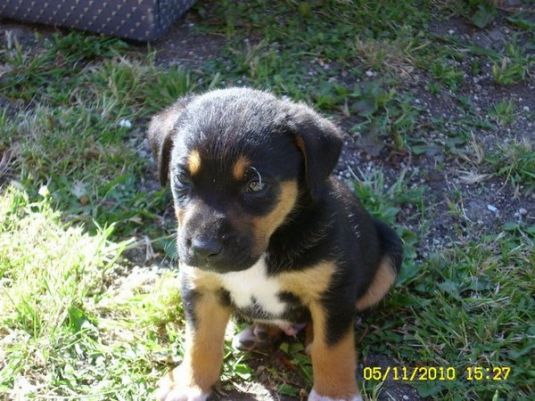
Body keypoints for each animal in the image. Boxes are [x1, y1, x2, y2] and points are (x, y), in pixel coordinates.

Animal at [148, 87, 402, 400]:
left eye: (255, 183)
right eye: (182, 177)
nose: (203, 249)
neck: (268, 246)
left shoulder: (332, 291)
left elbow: (332, 348)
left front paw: (335, 393)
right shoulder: (202, 288)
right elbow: (200, 342)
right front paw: (189, 385)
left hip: (391, 253)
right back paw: (259, 335)